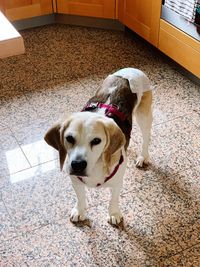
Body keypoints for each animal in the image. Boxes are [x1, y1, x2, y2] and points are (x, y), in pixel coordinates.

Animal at [44, 68, 152, 225]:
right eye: (69, 138)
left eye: (96, 140)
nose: (77, 165)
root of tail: (131, 69)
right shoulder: (75, 180)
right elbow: (80, 197)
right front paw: (79, 211)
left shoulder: (117, 182)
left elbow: (114, 199)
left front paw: (114, 213)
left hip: (144, 116)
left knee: (146, 138)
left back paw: (143, 157)